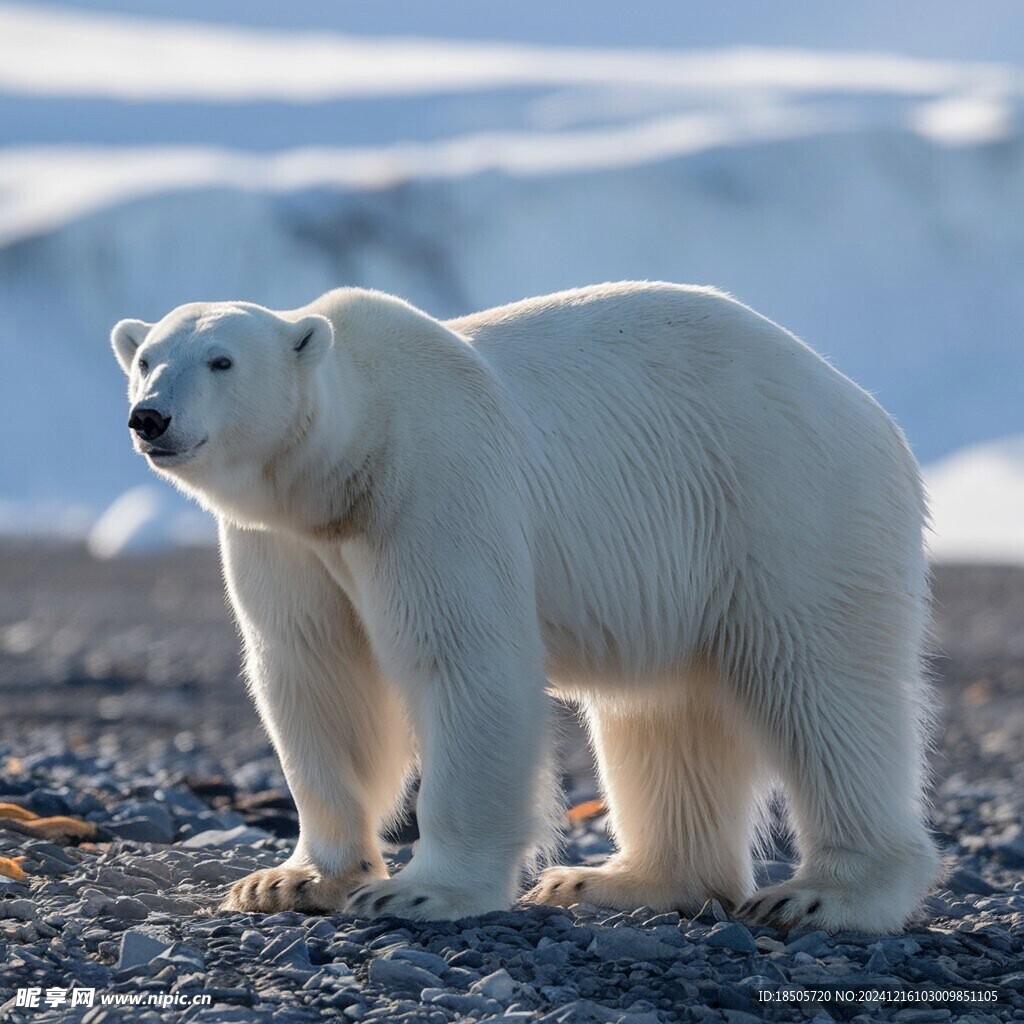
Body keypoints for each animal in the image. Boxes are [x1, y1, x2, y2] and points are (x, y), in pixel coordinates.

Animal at [112, 282, 937, 937]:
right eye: (148, 357)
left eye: (221, 360)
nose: (149, 418)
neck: (350, 464)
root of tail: (872, 414)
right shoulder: (287, 543)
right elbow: (316, 675)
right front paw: (289, 879)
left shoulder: (437, 489)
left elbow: (464, 663)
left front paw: (416, 893)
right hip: (687, 562)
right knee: (665, 712)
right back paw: (614, 880)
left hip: (788, 506)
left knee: (823, 691)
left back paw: (822, 895)